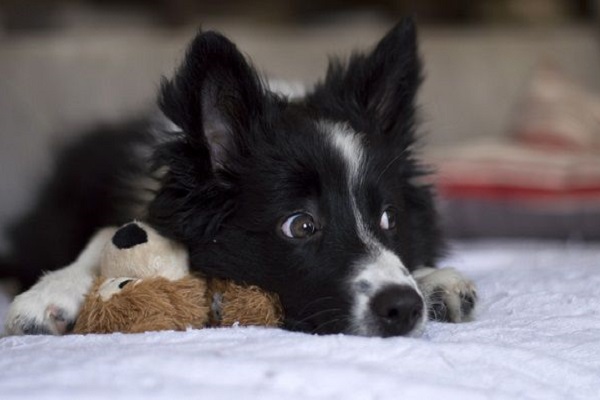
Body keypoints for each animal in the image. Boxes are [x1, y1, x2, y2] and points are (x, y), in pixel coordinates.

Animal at [2, 18, 476, 338]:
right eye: (300, 225)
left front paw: (436, 279)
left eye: (389, 219)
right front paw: (52, 293)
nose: (404, 308)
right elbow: (109, 233)